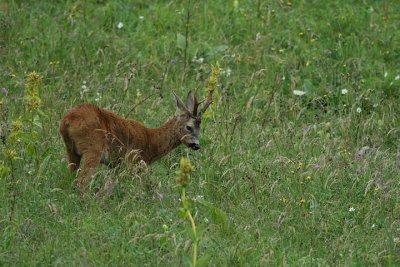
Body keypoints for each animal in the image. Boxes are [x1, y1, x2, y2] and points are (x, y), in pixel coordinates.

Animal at [60, 92, 209, 193]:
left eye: (200, 128)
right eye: (189, 127)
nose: (197, 145)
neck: (151, 141)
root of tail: (67, 120)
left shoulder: (116, 165)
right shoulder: (134, 159)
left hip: (70, 149)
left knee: (72, 175)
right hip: (93, 148)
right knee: (81, 182)